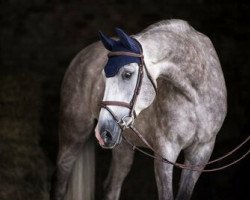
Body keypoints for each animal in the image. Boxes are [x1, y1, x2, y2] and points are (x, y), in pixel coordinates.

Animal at [49, 19, 228, 200]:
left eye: (127, 74)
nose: (103, 133)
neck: (195, 96)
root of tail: (80, 56)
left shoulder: (201, 152)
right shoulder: (166, 151)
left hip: (122, 146)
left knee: (111, 187)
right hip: (73, 135)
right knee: (60, 183)